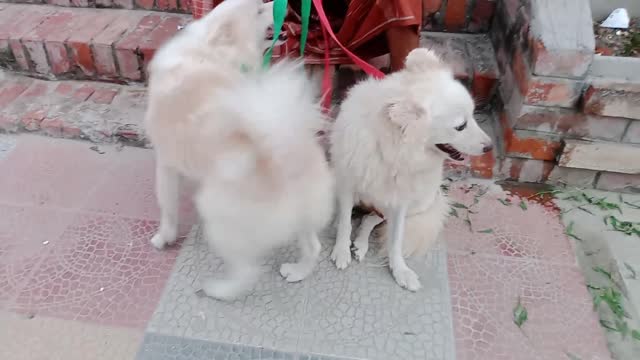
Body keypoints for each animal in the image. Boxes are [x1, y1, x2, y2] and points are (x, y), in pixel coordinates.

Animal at [146, 0, 336, 300]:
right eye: (259, 9)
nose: (285, 5)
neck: (210, 50)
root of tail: (281, 154)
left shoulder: (165, 164)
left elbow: (167, 208)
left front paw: (163, 238)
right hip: (304, 209)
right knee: (312, 246)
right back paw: (296, 272)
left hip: (220, 219)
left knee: (247, 271)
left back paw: (218, 290)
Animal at [328, 48, 492, 290]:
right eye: (460, 126)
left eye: (472, 116)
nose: (490, 147)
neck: (390, 152)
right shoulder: (346, 185)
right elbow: (345, 222)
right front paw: (340, 251)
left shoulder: (400, 201)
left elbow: (396, 240)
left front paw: (400, 271)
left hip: (418, 202)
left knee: (372, 219)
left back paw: (361, 243)